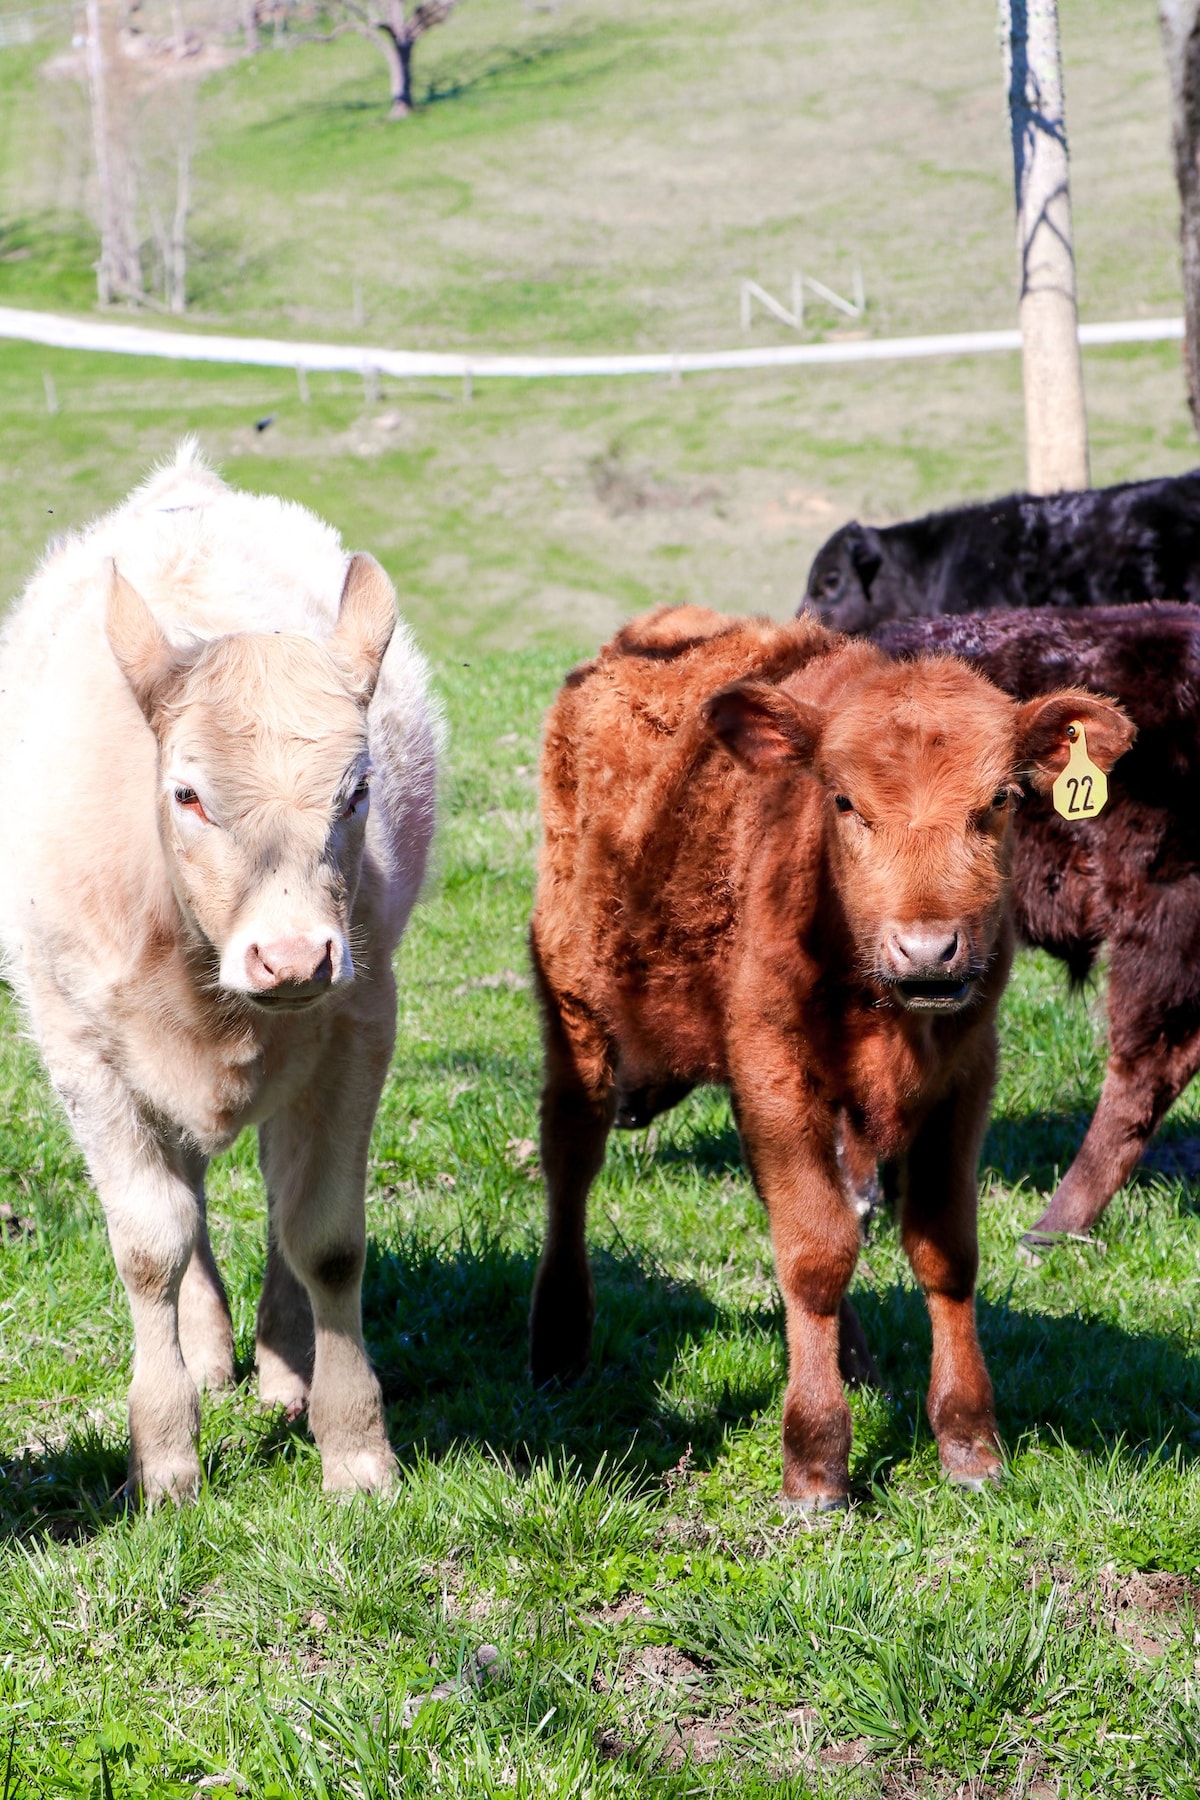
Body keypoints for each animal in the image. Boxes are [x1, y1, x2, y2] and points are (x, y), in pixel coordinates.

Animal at [528, 604, 1137, 1504]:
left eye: (998, 799)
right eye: (845, 801)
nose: (928, 951)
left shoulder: (964, 1079)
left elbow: (944, 1250)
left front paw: (969, 1441)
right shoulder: (776, 1072)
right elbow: (814, 1255)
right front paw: (815, 1459)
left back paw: (857, 1361)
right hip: (576, 1006)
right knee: (571, 1161)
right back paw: (560, 1340)